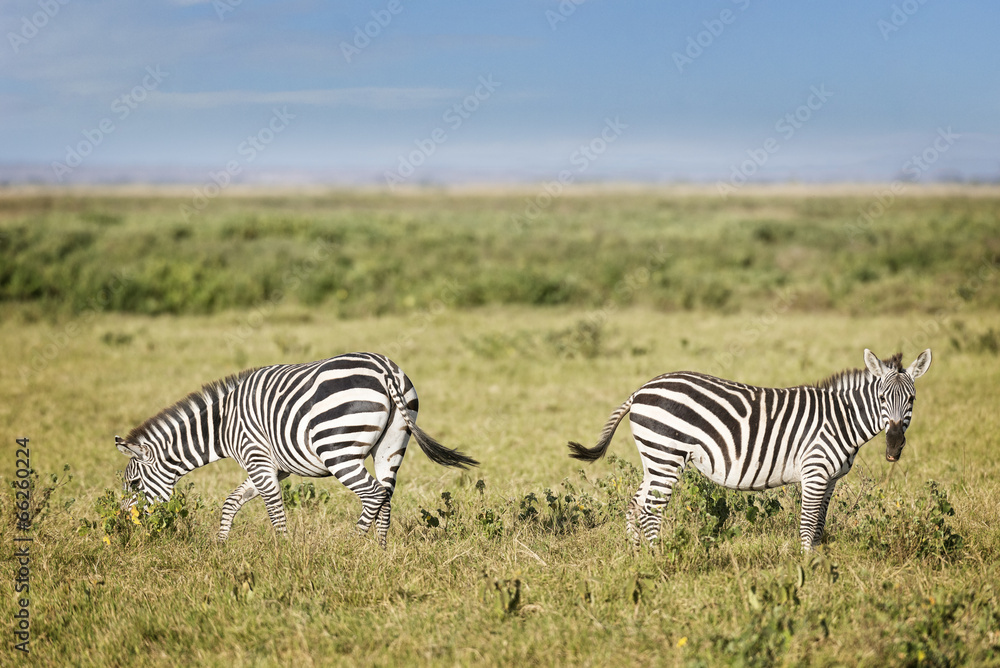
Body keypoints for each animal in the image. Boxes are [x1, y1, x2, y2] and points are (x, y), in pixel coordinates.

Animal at [115, 352, 477, 548]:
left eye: (133, 485)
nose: (124, 527)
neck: (222, 425)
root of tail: (384, 368)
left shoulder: (256, 457)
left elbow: (273, 508)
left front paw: (283, 551)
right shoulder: (274, 466)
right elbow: (231, 502)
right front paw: (219, 547)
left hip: (337, 448)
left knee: (373, 494)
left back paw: (352, 547)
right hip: (391, 445)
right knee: (386, 495)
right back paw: (379, 551)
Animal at [568, 349, 932, 550]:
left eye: (912, 399)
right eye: (882, 398)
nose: (893, 447)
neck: (839, 419)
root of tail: (641, 390)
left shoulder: (829, 480)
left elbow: (820, 524)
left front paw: (816, 563)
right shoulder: (814, 472)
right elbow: (807, 523)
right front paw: (806, 568)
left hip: (654, 458)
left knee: (634, 506)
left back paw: (638, 558)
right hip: (665, 457)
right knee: (650, 510)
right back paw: (659, 562)